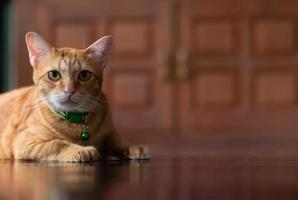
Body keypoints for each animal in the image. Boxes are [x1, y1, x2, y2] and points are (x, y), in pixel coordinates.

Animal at [0, 32, 149, 162]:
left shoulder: (109, 130)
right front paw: (81, 150)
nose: (69, 90)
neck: (76, 124)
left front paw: (130, 147)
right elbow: (57, 143)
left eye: (84, 75)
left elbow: (115, 139)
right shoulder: (25, 141)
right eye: (54, 75)